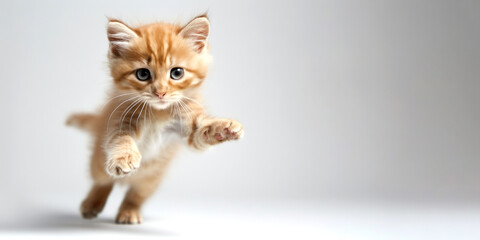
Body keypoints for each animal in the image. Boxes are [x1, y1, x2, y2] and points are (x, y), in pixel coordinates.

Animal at [65, 15, 244, 224]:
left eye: (177, 73)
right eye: (143, 74)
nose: (160, 93)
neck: (159, 113)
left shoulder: (189, 126)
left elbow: (201, 133)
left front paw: (224, 128)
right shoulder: (119, 120)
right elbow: (121, 139)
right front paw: (124, 157)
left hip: (152, 178)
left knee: (136, 194)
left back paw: (129, 212)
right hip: (99, 162)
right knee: (103, 181)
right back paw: (92, 204)